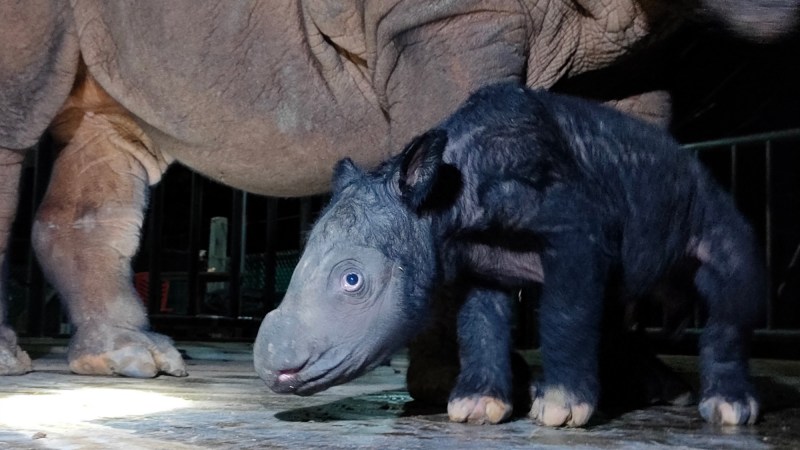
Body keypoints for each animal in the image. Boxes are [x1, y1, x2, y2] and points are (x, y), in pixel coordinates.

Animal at [0, 0, 796, 376]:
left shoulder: (640, 47)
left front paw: (629, 381)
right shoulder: (440, 17)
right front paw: (462, 385)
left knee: (109, 133)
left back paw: (131, 360)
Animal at [253, 81, 764, 428]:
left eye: (352, 280)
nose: (270, 363)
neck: (445, 192)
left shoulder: (574, 228)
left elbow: (565, 310)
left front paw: (559, 409)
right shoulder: (476, 259)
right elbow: (480, 321)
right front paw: (477, 407)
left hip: (708, 195)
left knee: (730, 274)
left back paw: (727, 410)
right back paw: (664, 393)